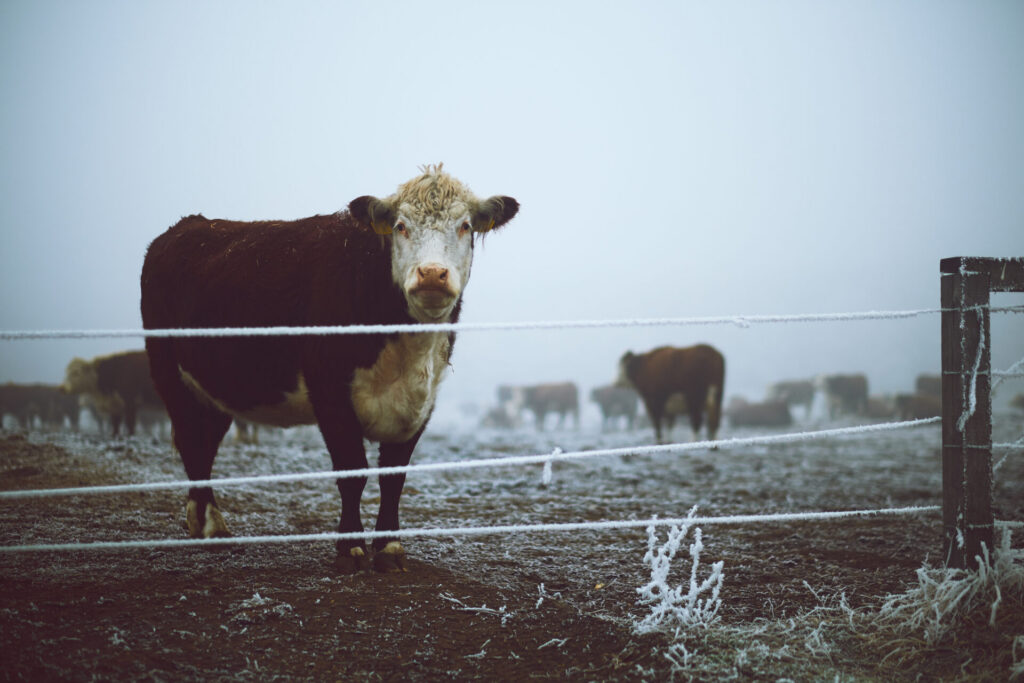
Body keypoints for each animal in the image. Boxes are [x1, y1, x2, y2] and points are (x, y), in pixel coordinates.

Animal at [140, 165, 518, 573]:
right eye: (401, 226)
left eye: (464, 226)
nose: (432, 274)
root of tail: (188, 226)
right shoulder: (329, 391)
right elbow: (352, 471)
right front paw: (349, 549)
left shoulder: (423, 400)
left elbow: (394, 478)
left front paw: (389, 548)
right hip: (168, 374)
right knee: (193, 443)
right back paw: (210, 526)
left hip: (215, 386)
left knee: (205, 443)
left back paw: (205, 524)